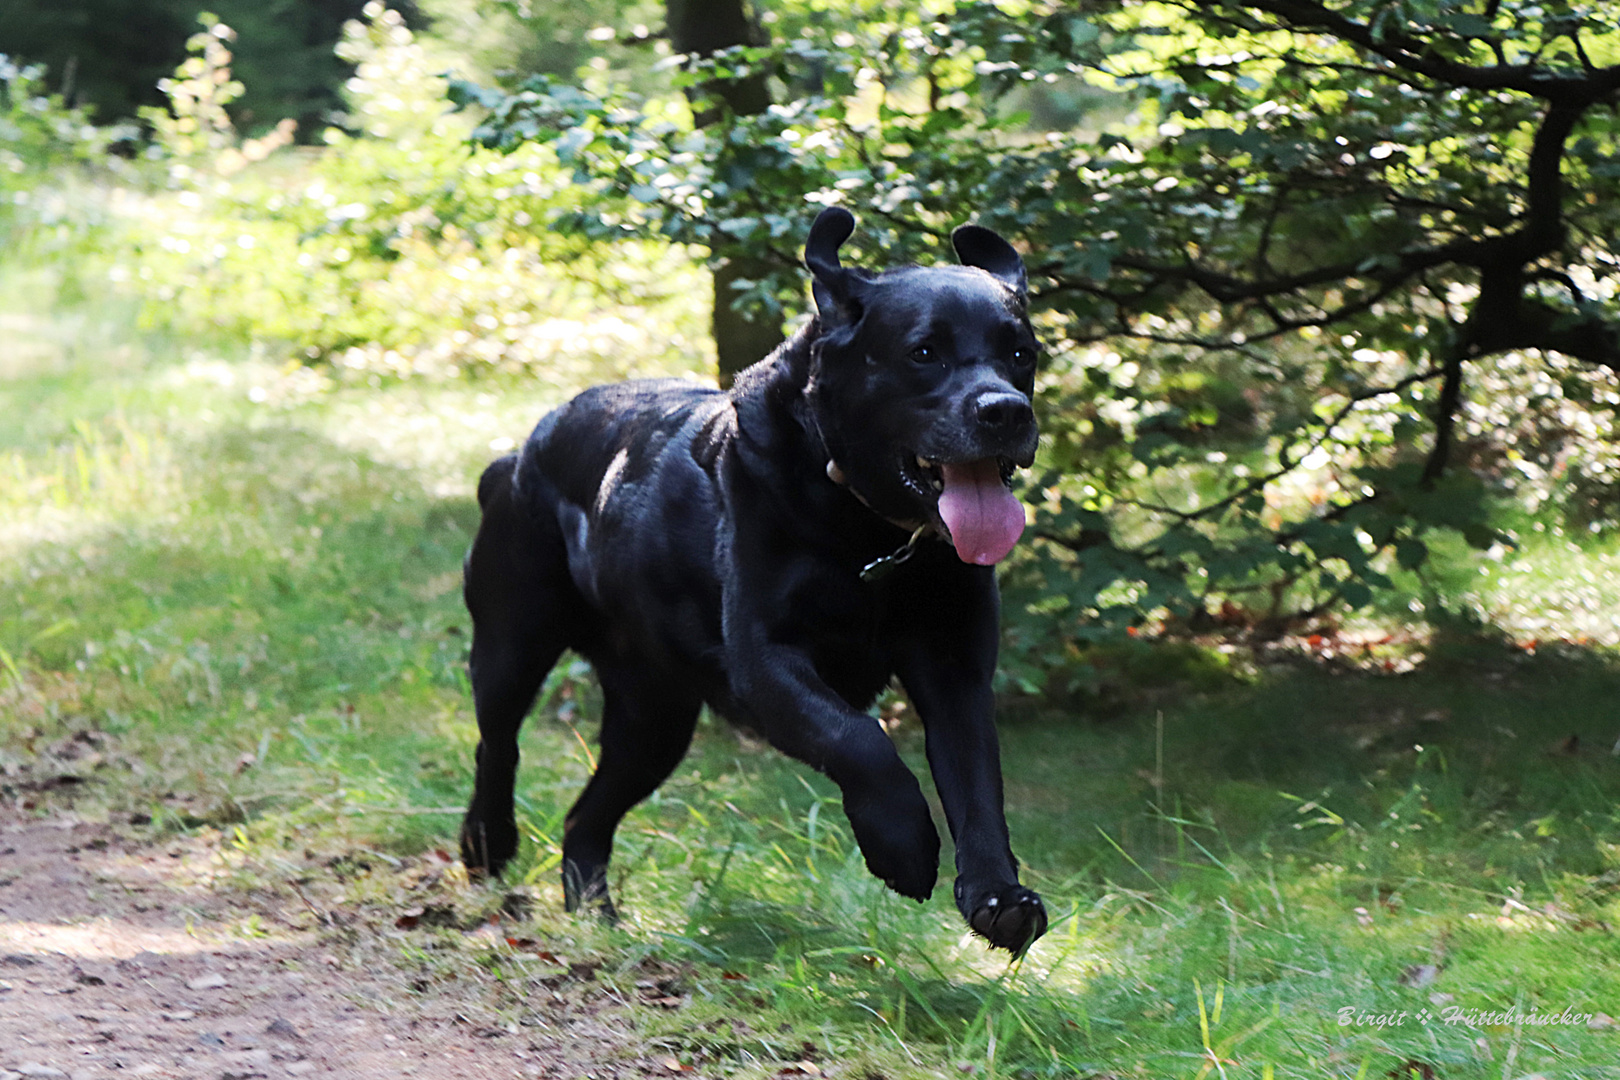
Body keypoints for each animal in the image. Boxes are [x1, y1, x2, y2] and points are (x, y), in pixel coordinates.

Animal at [463, 208, 1049, 952]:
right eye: (923, 353)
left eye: (1021, 354)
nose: (1005, 411)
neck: (870, 536)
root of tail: (518, 453)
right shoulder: (765, 659)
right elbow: (861, 740)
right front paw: (903, 849)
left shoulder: (957, 669)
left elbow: (977, 783)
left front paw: (1000, 898)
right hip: (513, 645)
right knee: (497, 745)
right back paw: (487, 843)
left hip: (653, 719)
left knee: (585, 817)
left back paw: (597, 915)